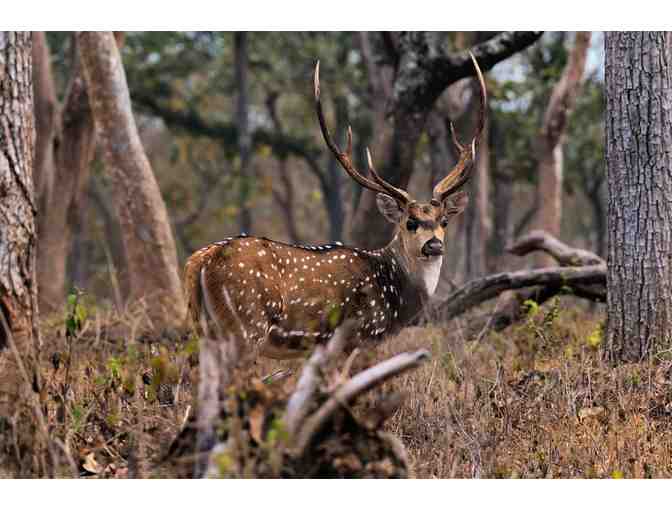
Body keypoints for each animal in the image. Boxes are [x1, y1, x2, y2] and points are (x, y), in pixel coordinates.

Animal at [184, 53, 488, 360]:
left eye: (444, 221)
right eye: (409, 222)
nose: (434, 245)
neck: (397, 298)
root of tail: (198, 262)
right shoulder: (363, 336)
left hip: (205, 329)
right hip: (246, 325)